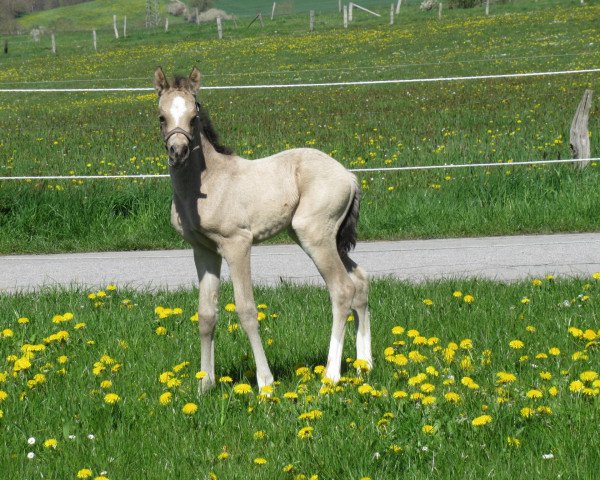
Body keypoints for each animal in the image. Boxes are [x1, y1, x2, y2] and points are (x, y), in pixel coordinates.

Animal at [154, 67, 370, 394]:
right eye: (161, 117)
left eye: (194, 115)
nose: (177, 151)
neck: (209, 183)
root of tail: (349, 175)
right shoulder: (204, 250)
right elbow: (206, 314)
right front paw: (205, 386)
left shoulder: (237, 244)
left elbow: (246, 310)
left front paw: (265, 383)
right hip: (324, 238)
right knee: (360, 281)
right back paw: (364, 366)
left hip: (314, 235)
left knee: (342, 289)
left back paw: (331, 375)